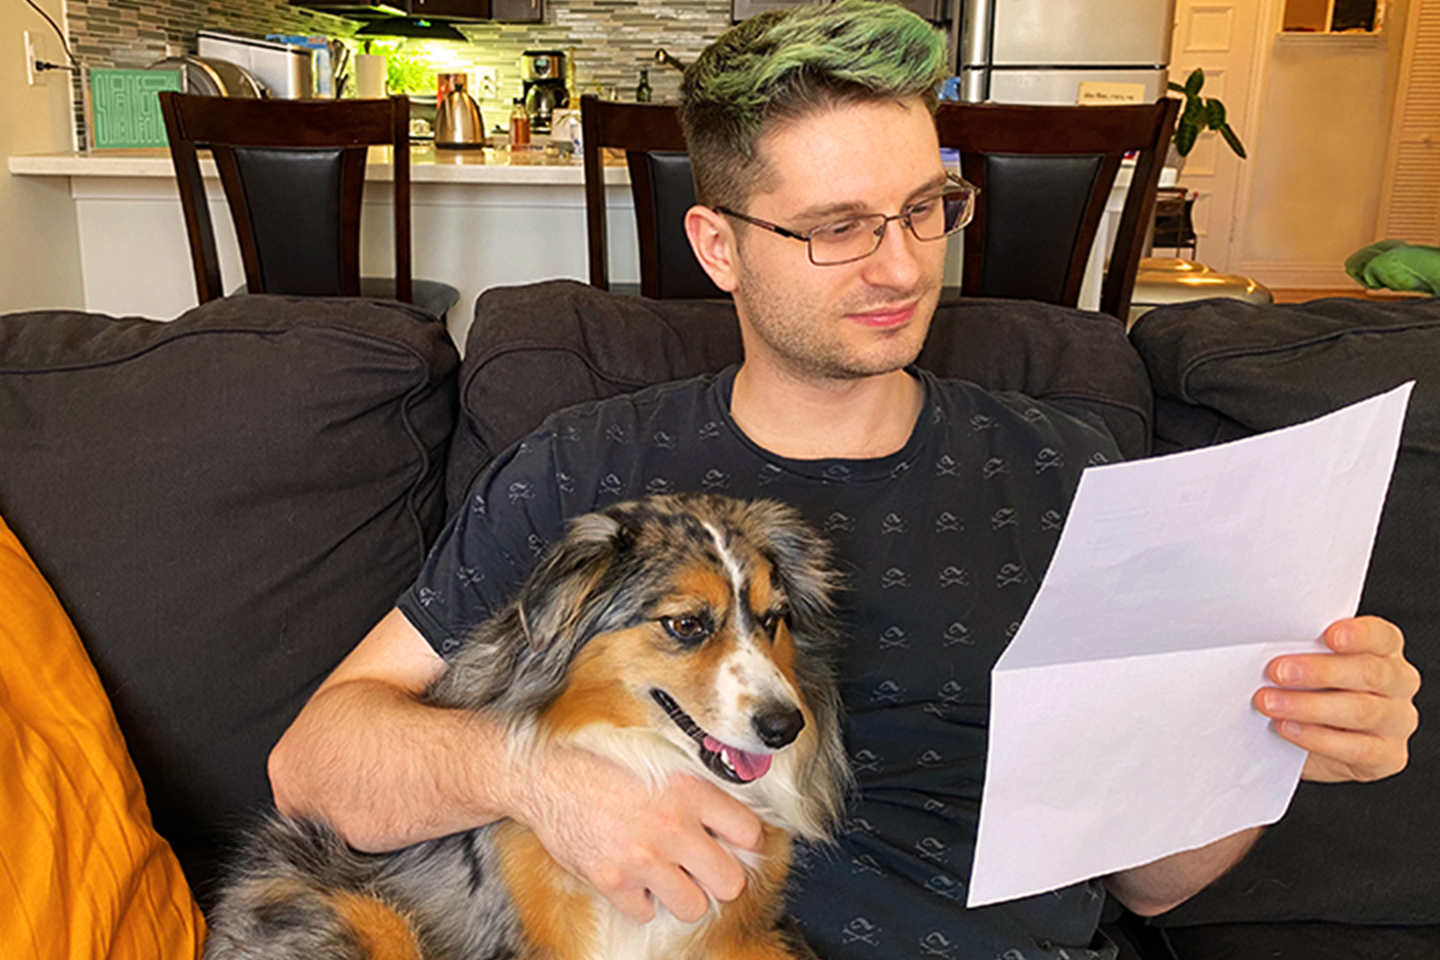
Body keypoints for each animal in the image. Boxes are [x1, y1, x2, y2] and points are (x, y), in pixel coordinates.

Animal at [207, 495, 846, 960]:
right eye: (686, 624)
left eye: (774, 619)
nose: (785, 726)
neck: (646, 755)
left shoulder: (747, 927)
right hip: (365, 915)